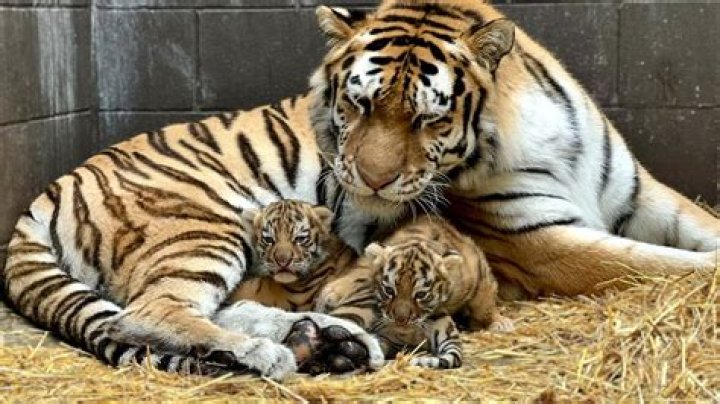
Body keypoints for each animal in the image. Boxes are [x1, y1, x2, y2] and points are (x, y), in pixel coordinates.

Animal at [317, 215, 513, 369]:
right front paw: (331, 293)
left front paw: (498, 322)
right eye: (389, 290)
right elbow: (360, 272)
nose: (400, 320)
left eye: (420, 295)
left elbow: (483, 303)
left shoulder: (478, 269)